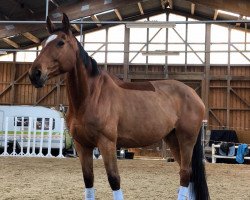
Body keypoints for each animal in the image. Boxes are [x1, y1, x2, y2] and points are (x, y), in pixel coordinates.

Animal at [28, 13, 209, 199]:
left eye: (60, 42)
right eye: (43, 43)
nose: (35, 74)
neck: (91, 97)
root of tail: (193, 94)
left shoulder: (107, 143)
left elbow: (114, 179)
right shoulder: (82, 145)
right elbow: (88, 180)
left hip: (186, 139)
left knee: (185, 173)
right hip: (173, 139)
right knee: (188, 175)